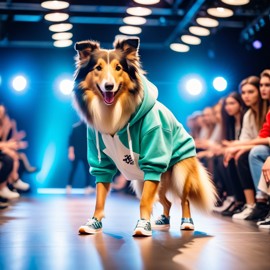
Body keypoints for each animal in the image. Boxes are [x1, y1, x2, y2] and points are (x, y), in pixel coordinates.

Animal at [72, 38, 217, 236]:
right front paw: (94, 222)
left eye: (119, 68)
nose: (109, 86)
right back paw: (163, 221)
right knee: (166, 201)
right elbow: (100, 197)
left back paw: (186, 223)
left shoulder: (154, 154)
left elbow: (145, 202)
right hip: (147, 182)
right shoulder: (99, 157)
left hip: (179, 172)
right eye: (98, 68)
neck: (115, 112)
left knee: (183, 199)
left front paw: (142, 226)